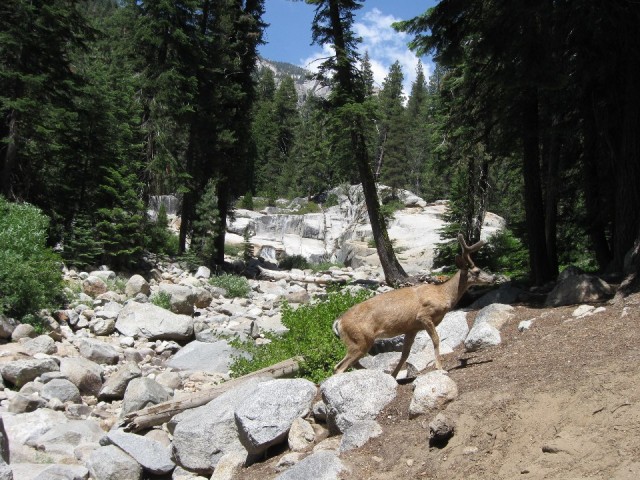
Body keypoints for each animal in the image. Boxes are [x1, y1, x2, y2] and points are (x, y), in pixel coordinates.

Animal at [332, 234, 495, 378]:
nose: (493, 278)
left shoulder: (412, 328)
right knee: (339, 367)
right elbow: (436, 340)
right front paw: (440, 368)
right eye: (477, 271)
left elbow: (405, 353)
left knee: (351, 364)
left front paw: (394, 375)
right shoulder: (424, 315)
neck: (443, 294)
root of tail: (338, 322)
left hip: (359, 342)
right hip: (359, 340)